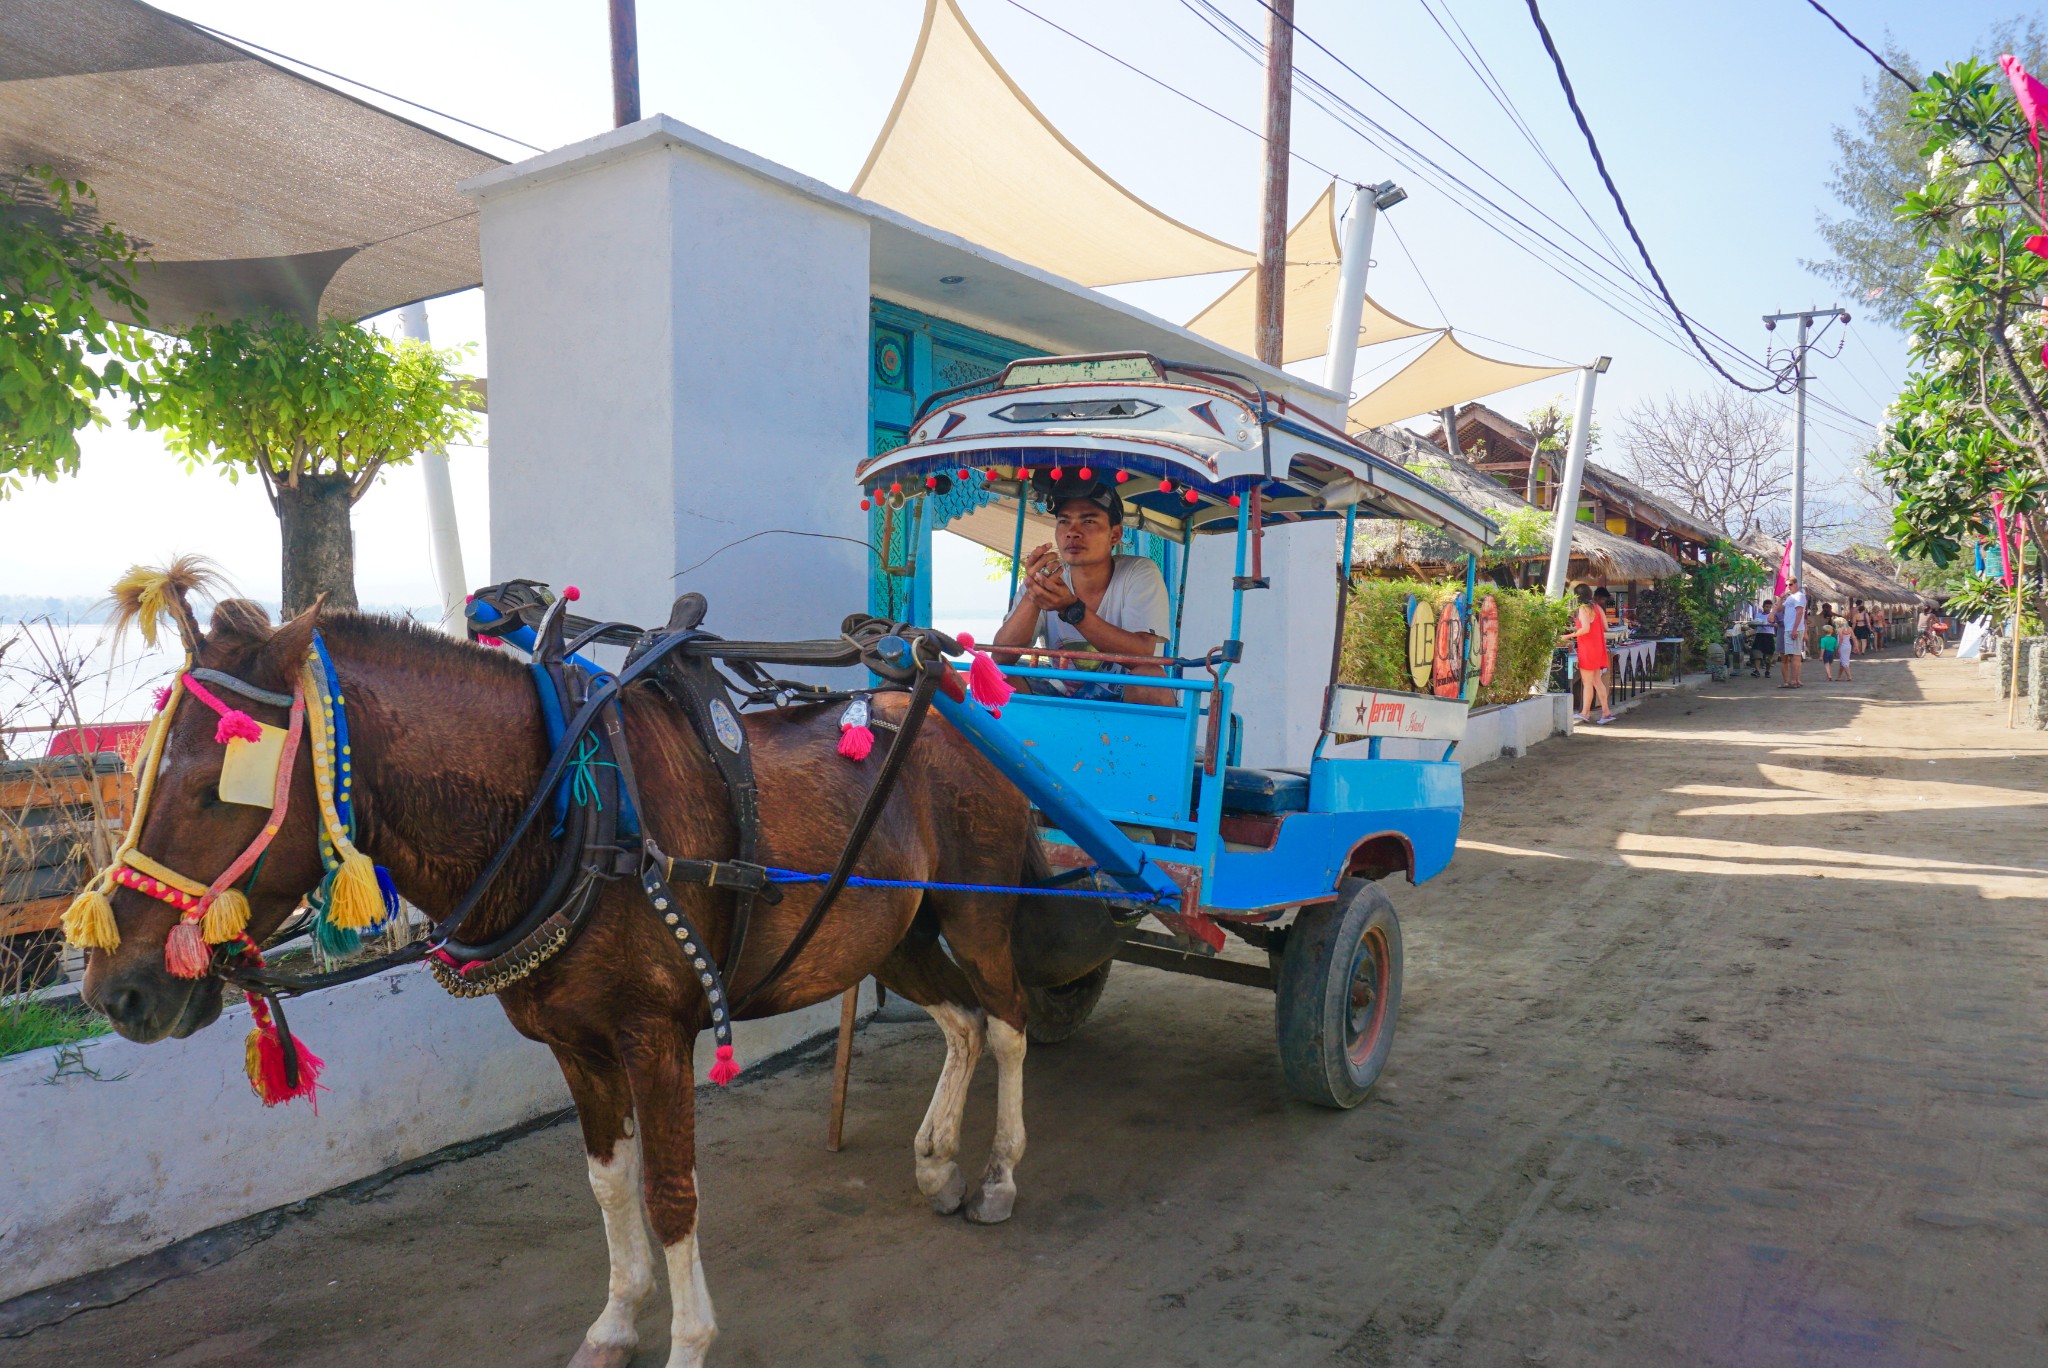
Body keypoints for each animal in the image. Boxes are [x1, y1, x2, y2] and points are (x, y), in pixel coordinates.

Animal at [81, 589, 1048, 1368]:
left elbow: (669, 1194)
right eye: (137, 772)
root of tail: (950, 712)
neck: (569, 812)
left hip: (975, 908)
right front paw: (617, 1323)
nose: (113, 990)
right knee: (961, 1023)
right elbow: (609, 1183)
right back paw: (937, 1163)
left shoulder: (654, 1037)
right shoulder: (575, 1045)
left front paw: (687, 1344)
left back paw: (1002, 1175)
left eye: (216, 787)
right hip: (895, 929)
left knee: (1007, 1021)